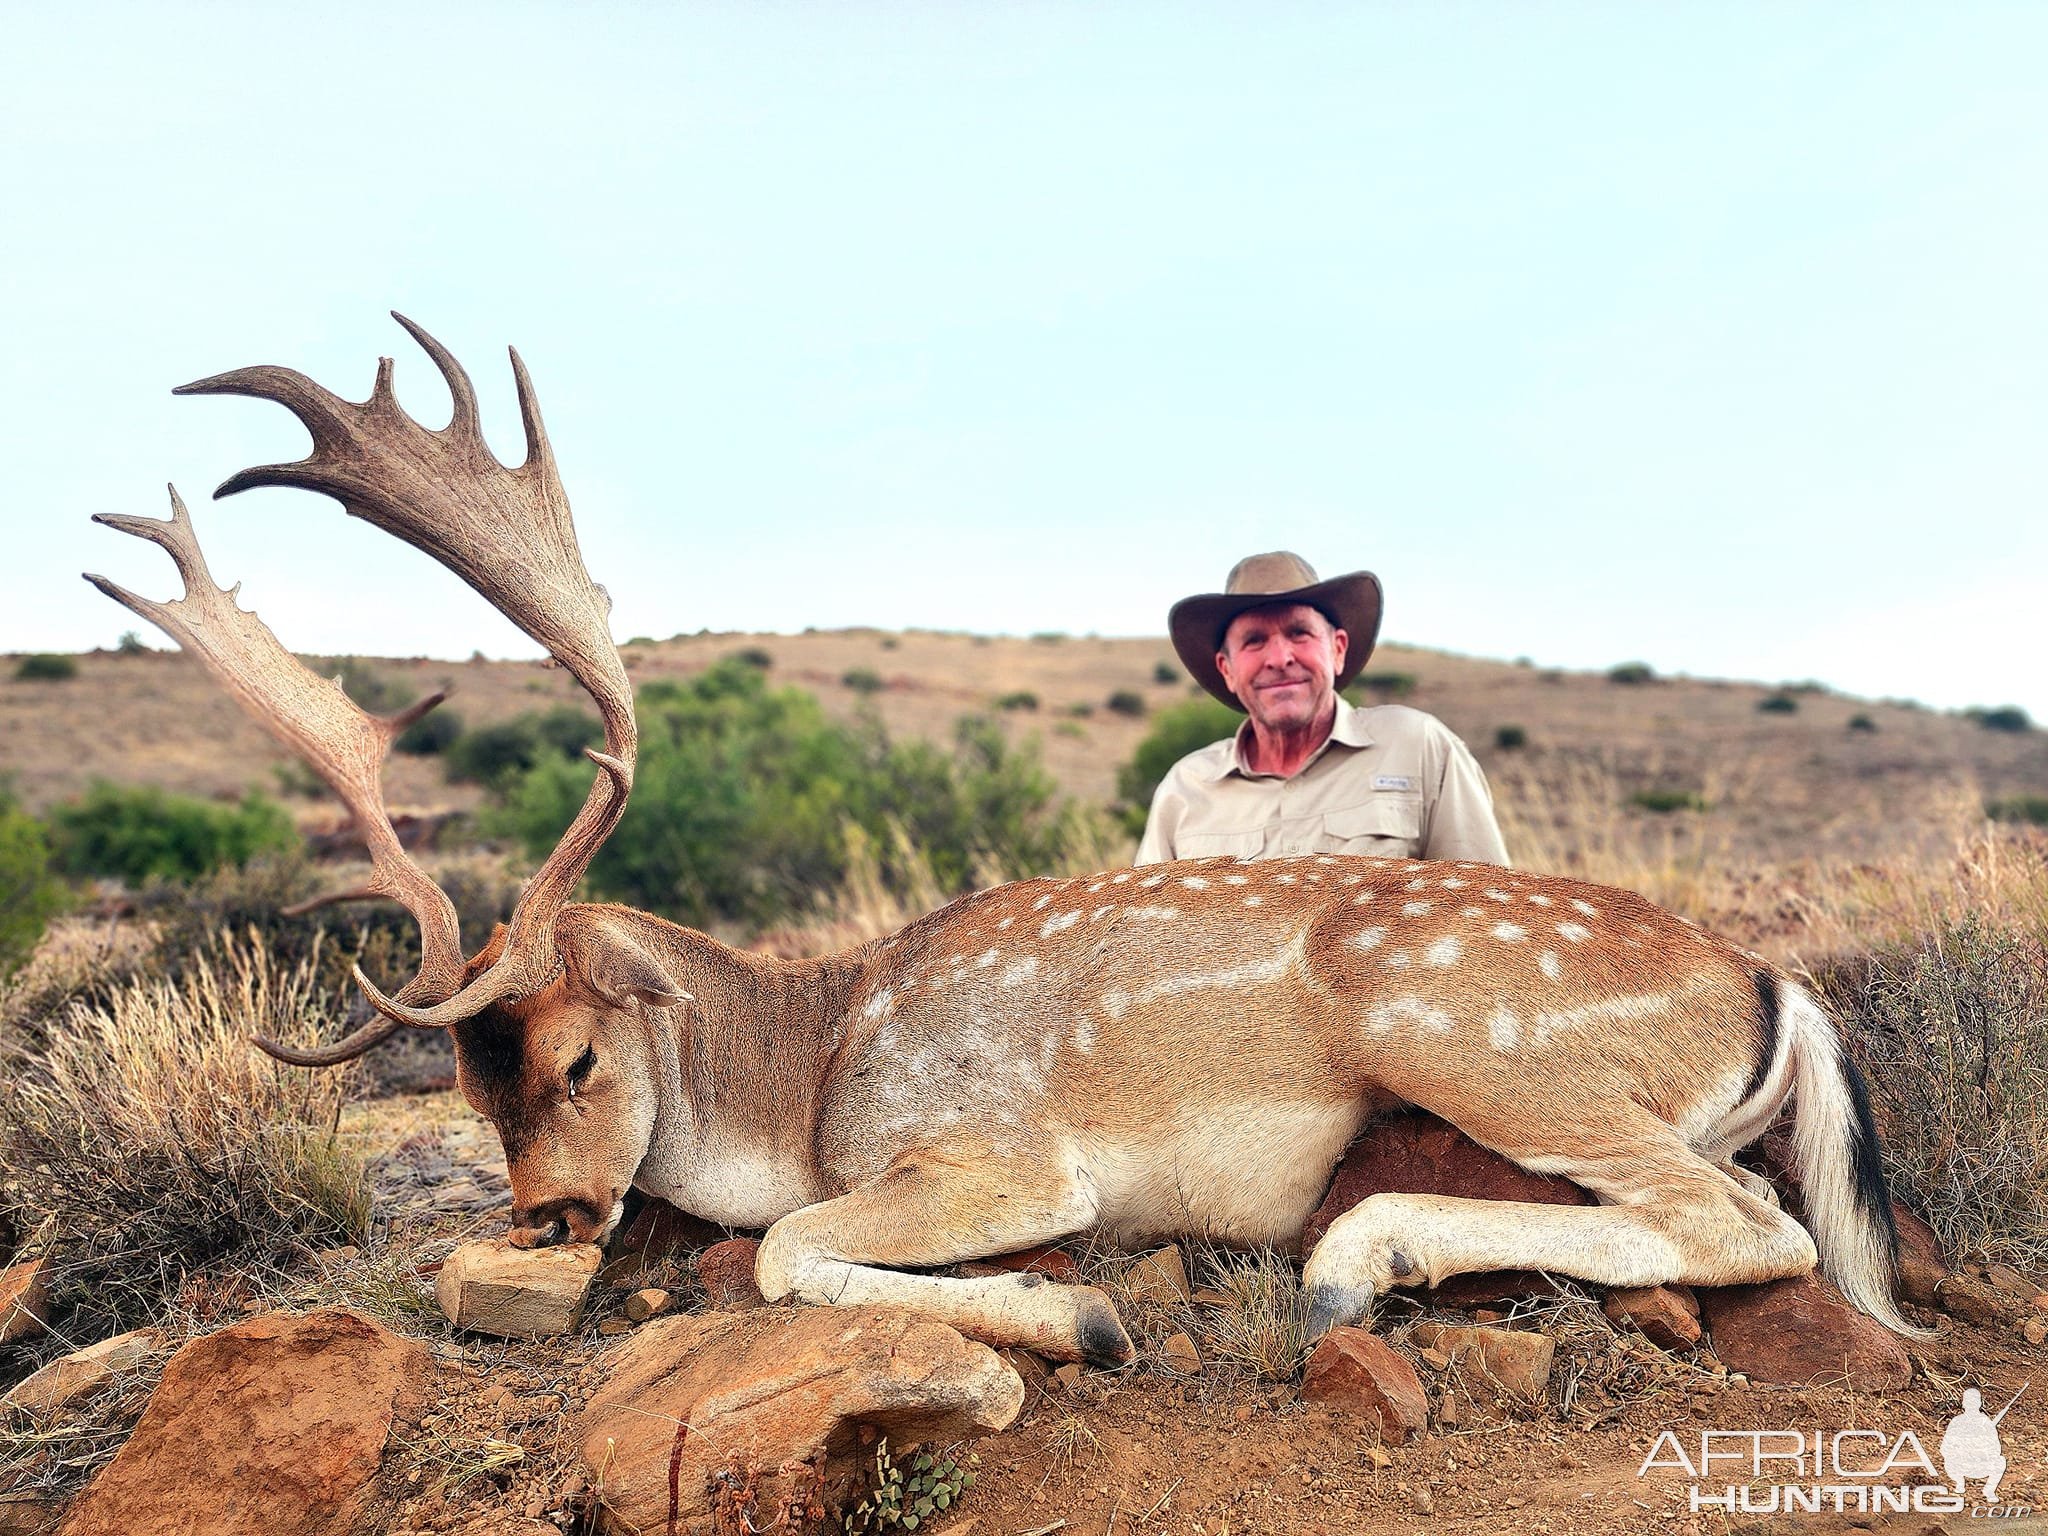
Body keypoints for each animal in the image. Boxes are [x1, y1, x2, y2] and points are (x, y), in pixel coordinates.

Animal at [88, 319, 1925, 1368]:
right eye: (467, 1094)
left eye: (582, 1061)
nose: (543, 1224)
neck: (811, 1067)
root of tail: (1770, 986)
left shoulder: (1001, 1155)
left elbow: (787, 1249)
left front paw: (1088, 1315)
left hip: (1474, 1038)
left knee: (1746, 1225)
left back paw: (1345, 1269)